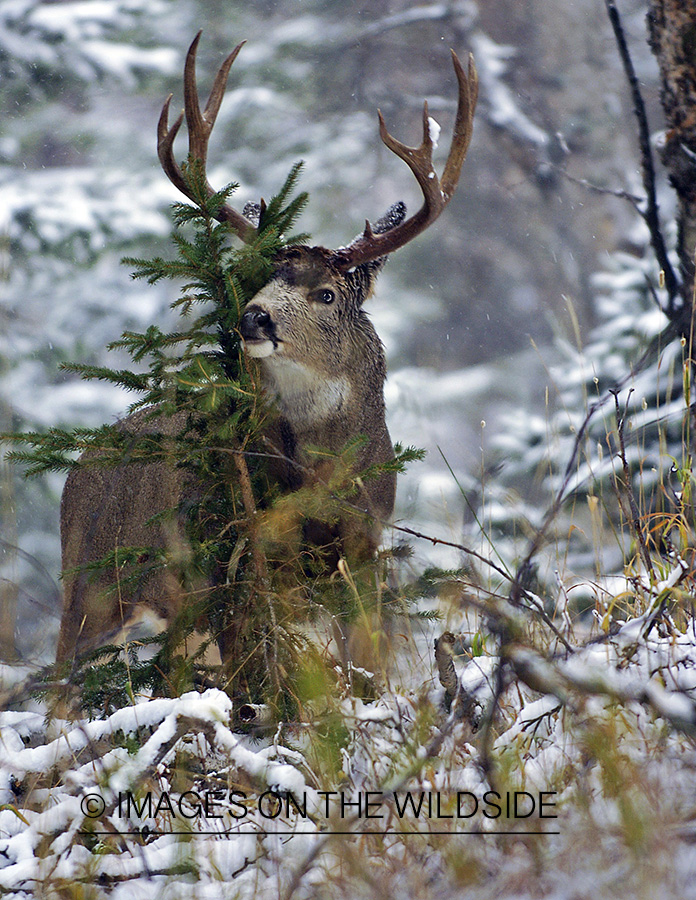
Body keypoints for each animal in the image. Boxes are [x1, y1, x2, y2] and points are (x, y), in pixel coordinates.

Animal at [55, 33, 478, 671]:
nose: (252, 316)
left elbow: (364, 663)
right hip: (91, 584)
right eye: (258, 278)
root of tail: (77, 469)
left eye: (326, 293)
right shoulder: (233, 562)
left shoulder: (364, 548)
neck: (322, 480)